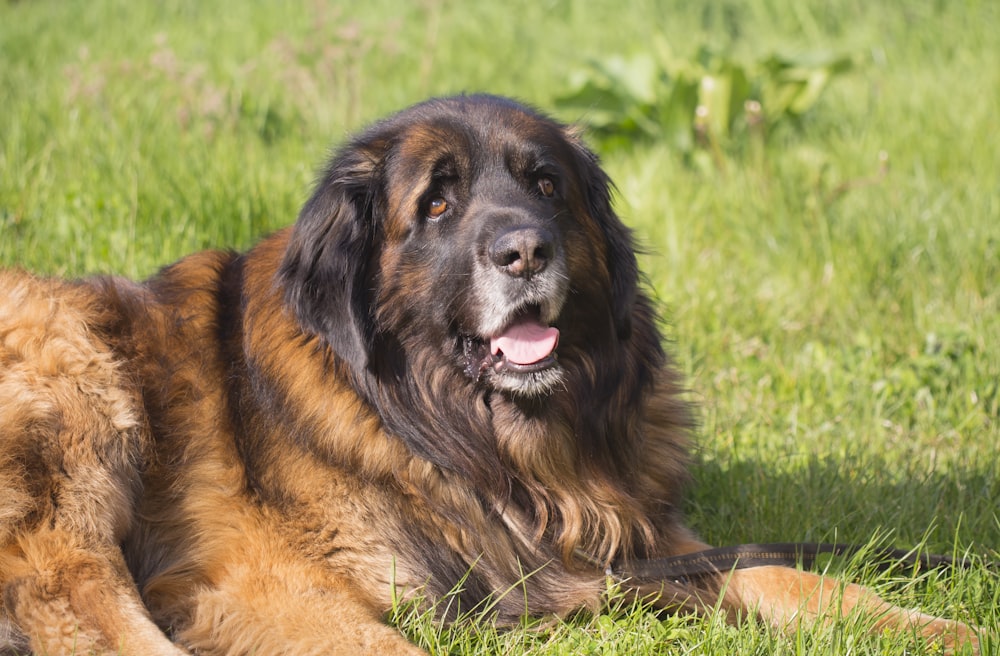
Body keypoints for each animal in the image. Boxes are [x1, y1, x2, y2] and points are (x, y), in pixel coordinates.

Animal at [0, 95, 984, 652]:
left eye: (546, 184)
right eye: (436, 204)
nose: (525, 251)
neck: (470, 442)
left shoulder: (636, 544)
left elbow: (794, 575)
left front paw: (935, 627)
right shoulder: (262, 583)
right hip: (77, 378)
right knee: (72, 599)